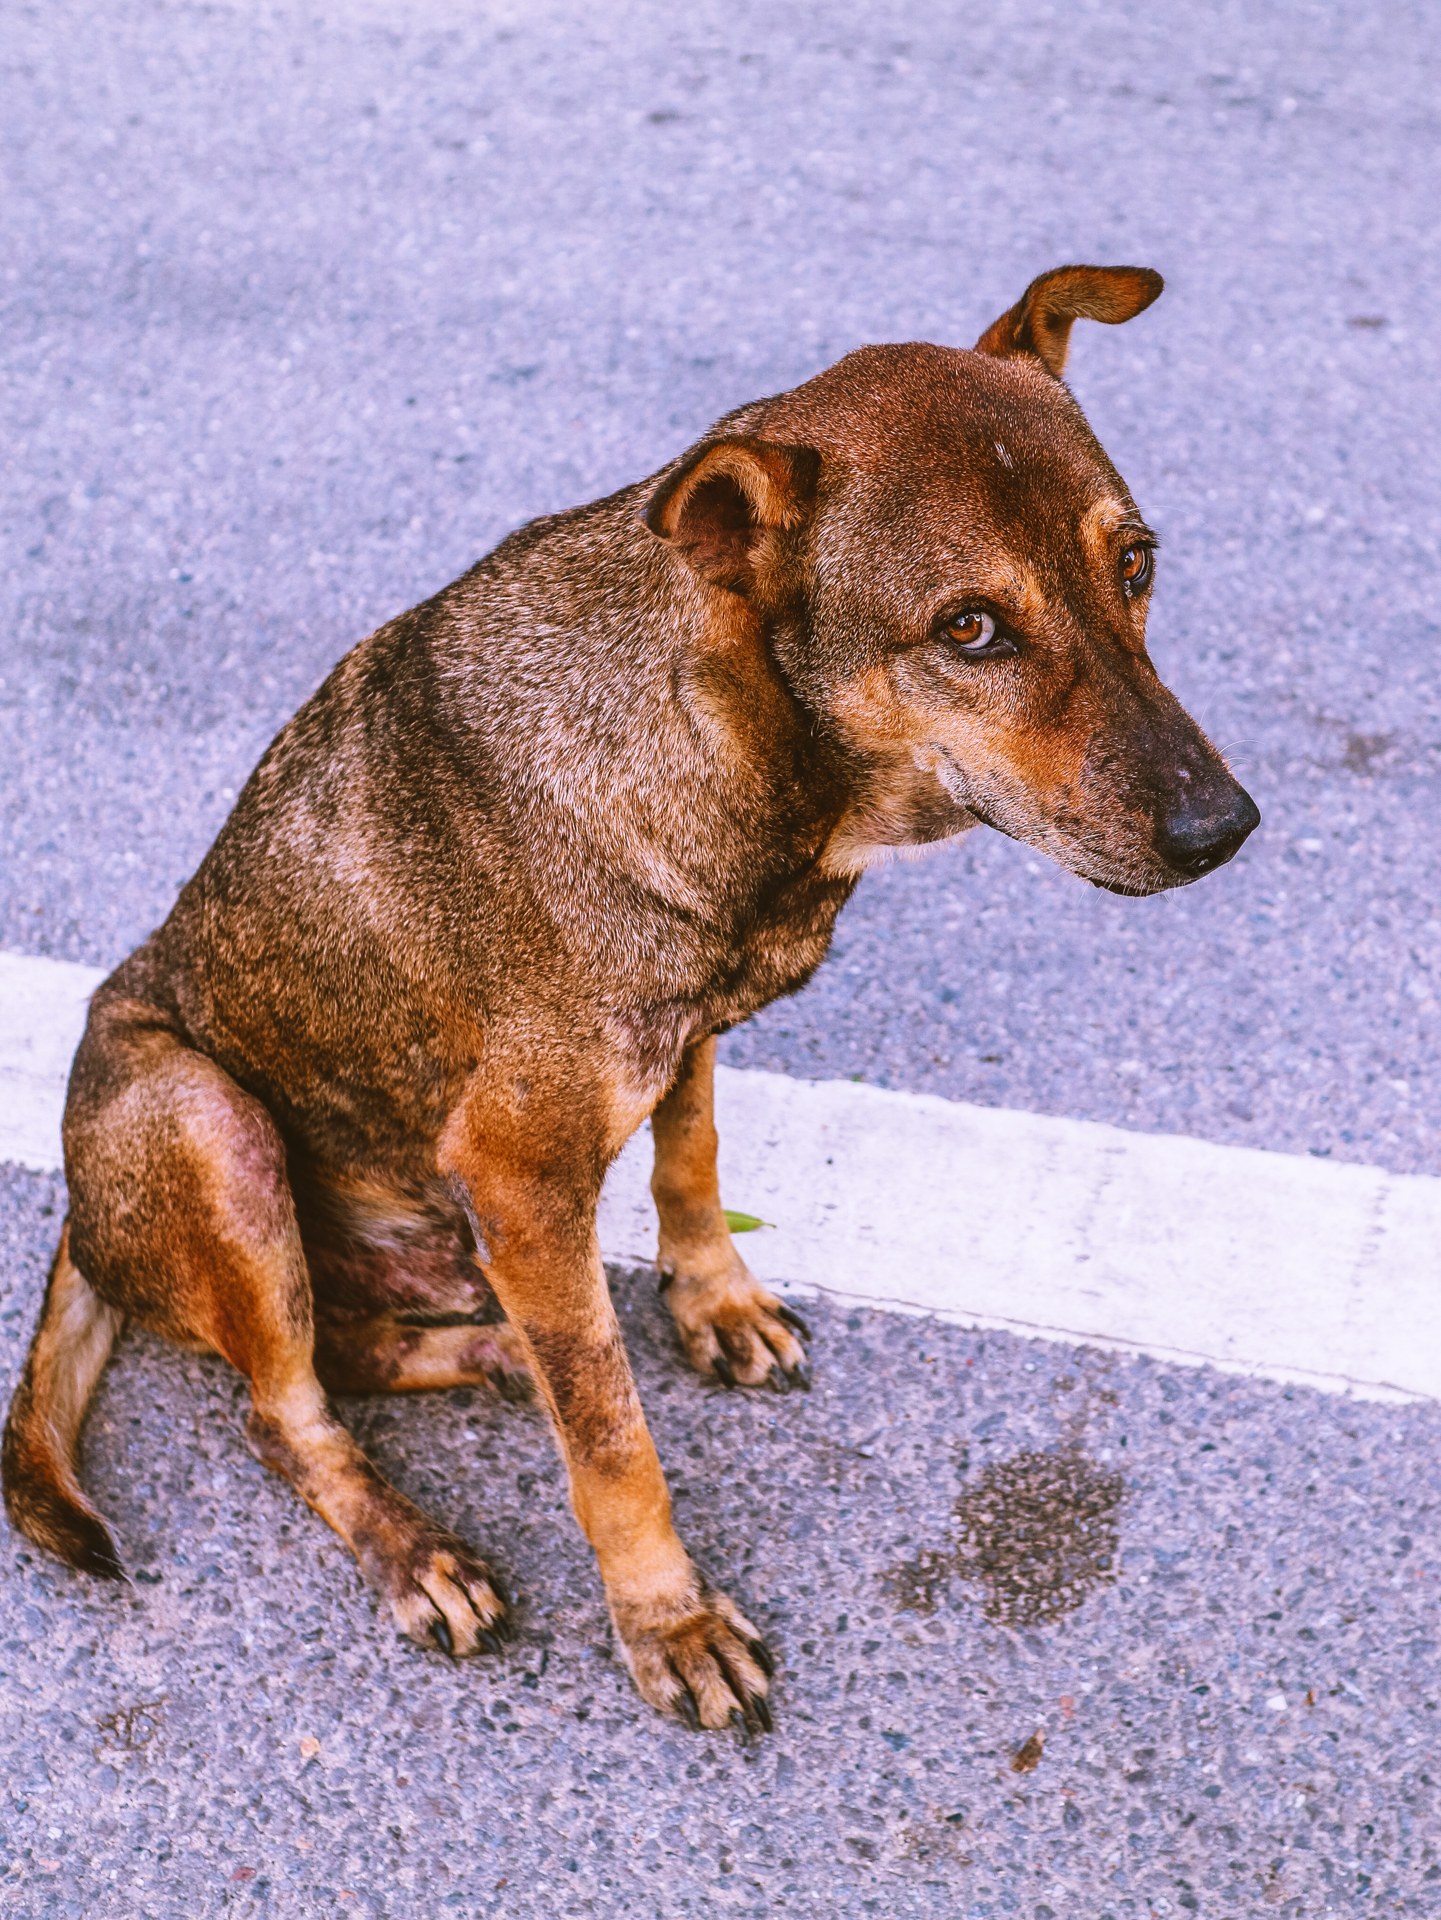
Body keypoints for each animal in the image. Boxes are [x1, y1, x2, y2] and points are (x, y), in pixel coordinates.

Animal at [0, 266, 1258, 1728]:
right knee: (287, 1408)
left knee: (355, 1352)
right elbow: (610, 1446)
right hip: (204, 1118)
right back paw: (419, 1544)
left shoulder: (683, 1034)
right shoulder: (521, 1177)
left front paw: (710, 1302)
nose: (1223, 830)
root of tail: (81, 1223)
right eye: (969, 628)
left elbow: (689, 1161)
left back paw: (500, 1354)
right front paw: (669, 1618)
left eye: (1136, 563)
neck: (745, 747)